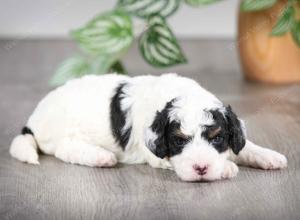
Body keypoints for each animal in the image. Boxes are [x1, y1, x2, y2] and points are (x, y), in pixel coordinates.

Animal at [9, 73, 288, 181]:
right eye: (178, 141)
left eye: (217, 138)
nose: (201, 168)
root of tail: (33, 119)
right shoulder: (155, 153)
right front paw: (226, 167)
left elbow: (245, 145)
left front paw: (269, 156)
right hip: (64, 132)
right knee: (65, 149)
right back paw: (100, 157)